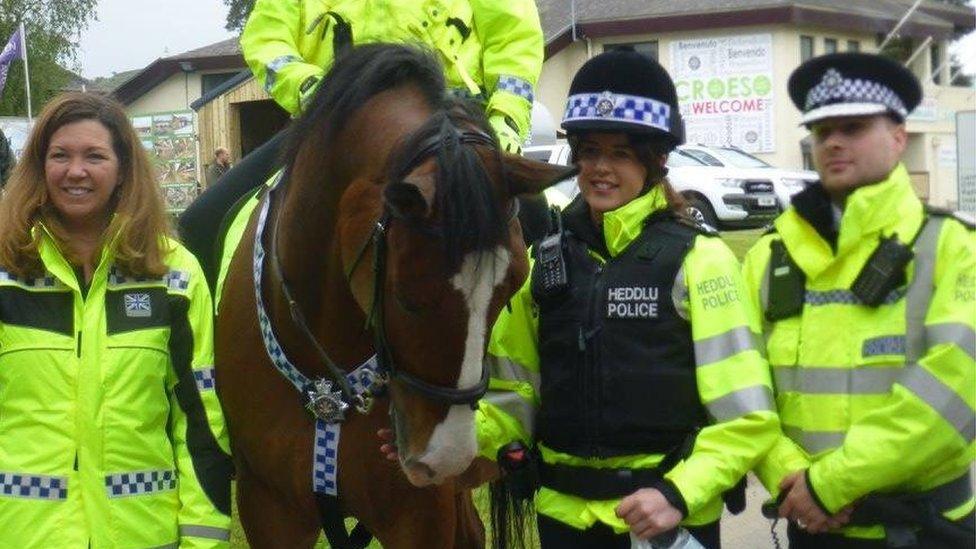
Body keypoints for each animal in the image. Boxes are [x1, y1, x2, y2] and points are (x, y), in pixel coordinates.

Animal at [214, 44, 564, 548]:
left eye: (510, 290)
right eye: (405, 297)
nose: (443, 456)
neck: (326, 384)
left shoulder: (419, 517)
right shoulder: (269, 508)